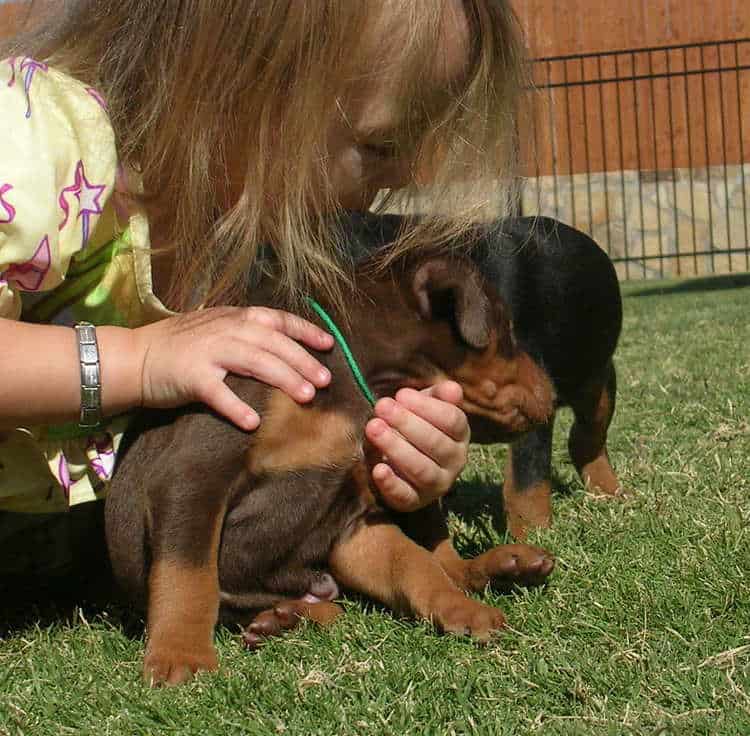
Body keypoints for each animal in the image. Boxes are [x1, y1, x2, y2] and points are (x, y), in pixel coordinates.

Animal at [108, 250, 560, 688]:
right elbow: (188, 575)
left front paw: (460, 610)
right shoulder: (195, 472)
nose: (554, 394)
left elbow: (413, 562)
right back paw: (282, 619)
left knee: (445, 566)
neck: (350, 380)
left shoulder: (353, 521)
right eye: (510, 333)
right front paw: (182, 655)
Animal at [346, 210, 624, 536]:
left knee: (588, 434)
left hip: (597, 379)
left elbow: (526, 477)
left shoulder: (527, 392)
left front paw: (534, 534)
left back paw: (610, 492)